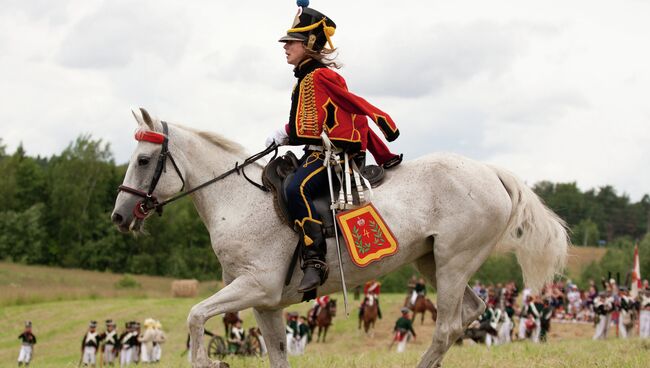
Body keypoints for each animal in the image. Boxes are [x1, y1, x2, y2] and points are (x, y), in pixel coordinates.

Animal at [111, 109, 568, 368]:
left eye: (144, 160)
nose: (119, 216)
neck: (237, 199)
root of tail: (490, 171)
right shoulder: (265, 302)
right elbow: (277, 353)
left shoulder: (255, 286)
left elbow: (194, 315)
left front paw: (209, 364)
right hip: (433, 261)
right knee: (469, 314)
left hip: (455, 262)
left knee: (446, 328)